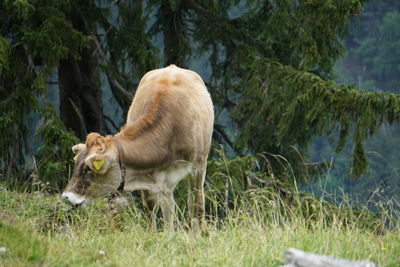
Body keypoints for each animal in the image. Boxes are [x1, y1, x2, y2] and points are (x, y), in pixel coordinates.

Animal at [61, 65, 214, 232]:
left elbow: (195, 207)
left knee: (192, 203)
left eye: (89, 168)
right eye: (76, 164)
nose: (66, 197)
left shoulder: (197, 167)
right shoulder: (150, 182)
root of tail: (171, 67)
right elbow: (152, 213)